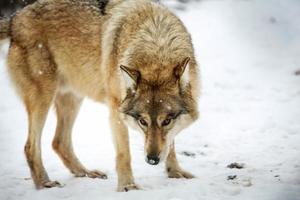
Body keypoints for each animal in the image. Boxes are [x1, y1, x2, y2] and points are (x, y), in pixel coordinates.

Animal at [1, 0, 200, 191]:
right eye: (142, 121)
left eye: (166, 121)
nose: (152, 160)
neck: (157, 47)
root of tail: (15, 18)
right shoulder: (116, 110)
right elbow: (124, 153)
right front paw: (127, 186)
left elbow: (171, 145)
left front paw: (175, 173)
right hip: (44, 97)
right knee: (30, 146)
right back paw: (44, 183)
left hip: (73, 99)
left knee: (59, 142)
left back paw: (86, 172)